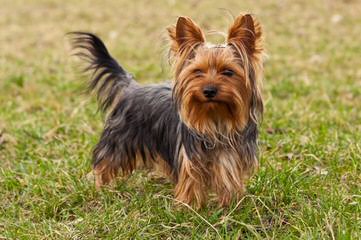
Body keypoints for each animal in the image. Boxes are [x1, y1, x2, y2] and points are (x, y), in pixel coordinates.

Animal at [69, 13, 262, 208]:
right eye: (197, 72)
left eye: (228, 72)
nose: (208, 91)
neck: (216, 119)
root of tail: (131, 87)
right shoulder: (189, 160)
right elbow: (190, 183)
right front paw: (189, 207)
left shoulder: (231, 159)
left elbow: (228, 182)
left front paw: (230, 205)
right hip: (118, 142)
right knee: (104, 164)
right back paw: (98, 187)